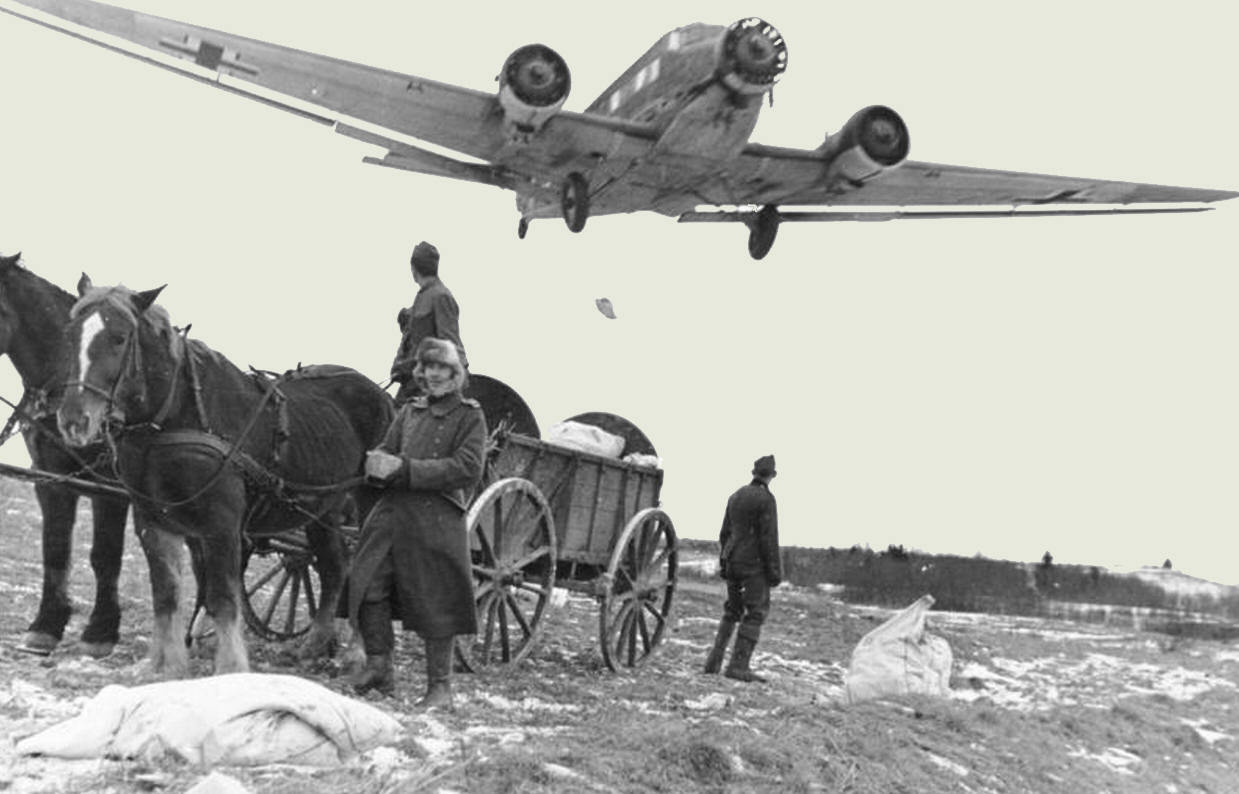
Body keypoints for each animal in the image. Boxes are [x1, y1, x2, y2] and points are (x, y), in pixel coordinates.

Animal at [0, 253, 130, 654]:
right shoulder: (50, 478)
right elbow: (55, 550)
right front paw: (46, 625)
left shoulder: (110, 486)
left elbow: (105, 555)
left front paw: (101, 631)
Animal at [53, 273, 389, 673]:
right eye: (70, 333)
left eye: (120, 338)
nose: (74, 420)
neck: (174, 418)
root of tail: (384, 396)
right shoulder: (153, 520)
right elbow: (166, 594)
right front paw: (166, 665)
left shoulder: (222, 525)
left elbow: (223, 598)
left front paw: (230, 667)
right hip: (322, 507)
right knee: (334, 564)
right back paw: (313, 645)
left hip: (366, 504)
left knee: (363, 566)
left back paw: (357, 651)